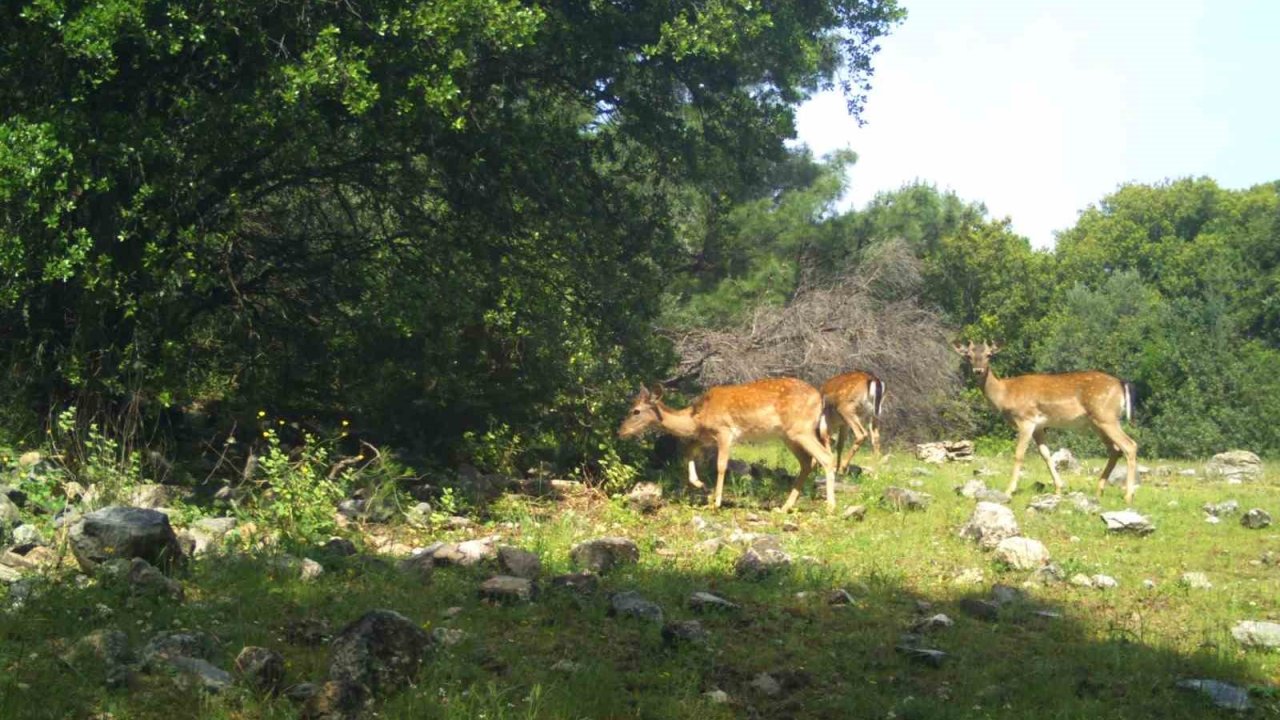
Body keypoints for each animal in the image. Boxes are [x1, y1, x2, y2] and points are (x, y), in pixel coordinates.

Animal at [619, 376, 839, 509]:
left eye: (635, 411)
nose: (620, 431)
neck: (696, 417)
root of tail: (821, 399)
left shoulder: (725, 431)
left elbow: (721, 465)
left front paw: (715, 502)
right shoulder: (707, 436)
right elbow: (688, 452)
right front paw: (699, 484)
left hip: (801, 429)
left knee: (826, 457)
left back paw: (830, 506)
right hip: (789, 436)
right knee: (807, 462)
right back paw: (784, 507)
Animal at [952, 338, 1141, 502]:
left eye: (989, 354)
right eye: (968, 355)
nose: (978, 370)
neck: (1005, 394)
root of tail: (1121, 384)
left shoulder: (1026, 419)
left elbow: (1019, 455)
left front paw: (1009, 490)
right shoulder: (1039, 426)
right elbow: (1046, 454)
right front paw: (1059, 488)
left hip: (1106, 416)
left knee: (1129, 445)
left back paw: (1128, 495)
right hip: (1097, 422)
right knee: (1115, 450)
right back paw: (1099, 490)